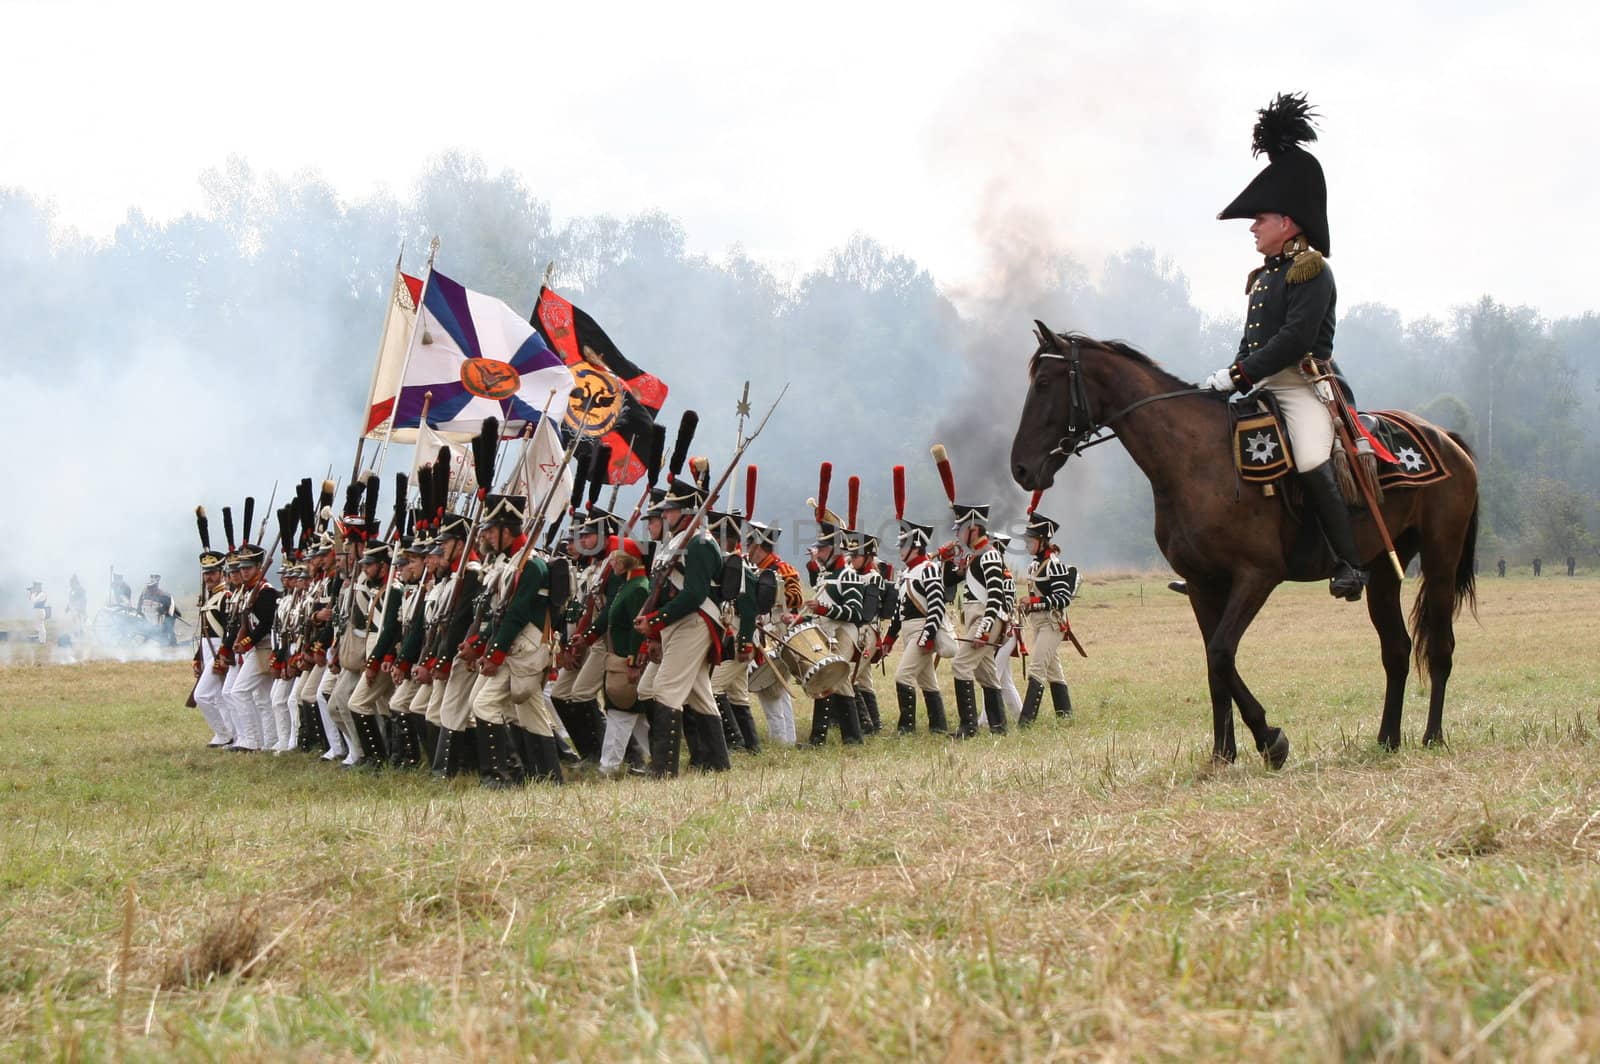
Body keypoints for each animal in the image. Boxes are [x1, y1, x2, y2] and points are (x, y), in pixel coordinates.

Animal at [1004, 323, 1478, 764]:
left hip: (1440, 561)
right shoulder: (1201, 584)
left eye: (1043, 383)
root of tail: (1445, 438)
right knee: (1396, 650)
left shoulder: (1256, 576)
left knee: (1440, 647)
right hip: (1381, 571)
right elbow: (1215, 664)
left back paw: (1432, 735)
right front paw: (1223, 752)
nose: (1021, 468)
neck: (1196, 459)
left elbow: (1220, 653)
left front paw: (1270, 739)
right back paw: (1387, 740)